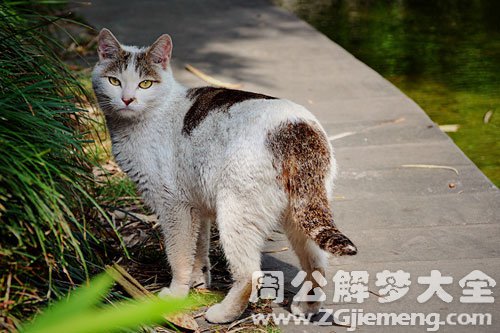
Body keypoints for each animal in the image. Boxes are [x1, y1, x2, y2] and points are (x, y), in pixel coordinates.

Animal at [92, 27, 358, 322]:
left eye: (145, 84)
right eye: (114, 81)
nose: (127, 99)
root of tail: (295, 128)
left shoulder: (173, 206)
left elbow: (179, 255)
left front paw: (176, 295)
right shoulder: (195, 207)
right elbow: (198, 250)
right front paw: (198, 284)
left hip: (235, 212)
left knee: (251, 274)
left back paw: (222, 313)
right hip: (299, 212)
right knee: (318, 264)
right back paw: (305, 306)